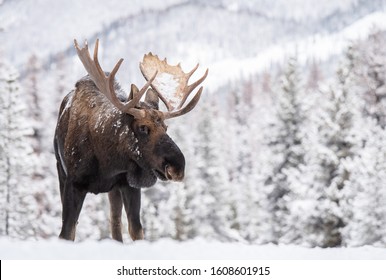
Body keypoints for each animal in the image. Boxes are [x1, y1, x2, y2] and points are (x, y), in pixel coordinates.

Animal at [53, 39, 208, 241]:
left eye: (166, 128)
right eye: (143, 128)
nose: (177, 167)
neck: (107, 162)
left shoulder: (128, 185)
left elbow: (136, 230)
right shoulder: (73, 183)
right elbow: (66, 232)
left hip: (114, 190)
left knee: (115, 225)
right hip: (60, 171)